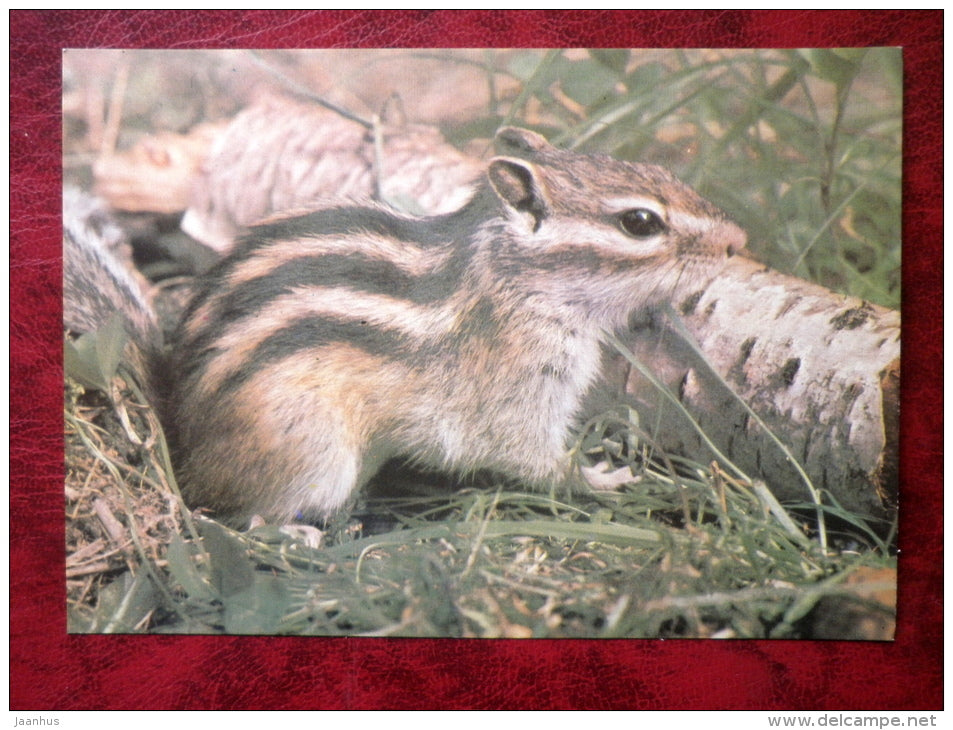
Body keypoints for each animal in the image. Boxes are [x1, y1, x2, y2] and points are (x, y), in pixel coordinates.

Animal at [64, 127, 746, 527]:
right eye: (639, 222)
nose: (739, 241)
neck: (515, 280)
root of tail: (177, 432)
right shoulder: (514, 394)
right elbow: (532, 459)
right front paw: (603, 478)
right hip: (310, 450)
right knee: (242, 518)